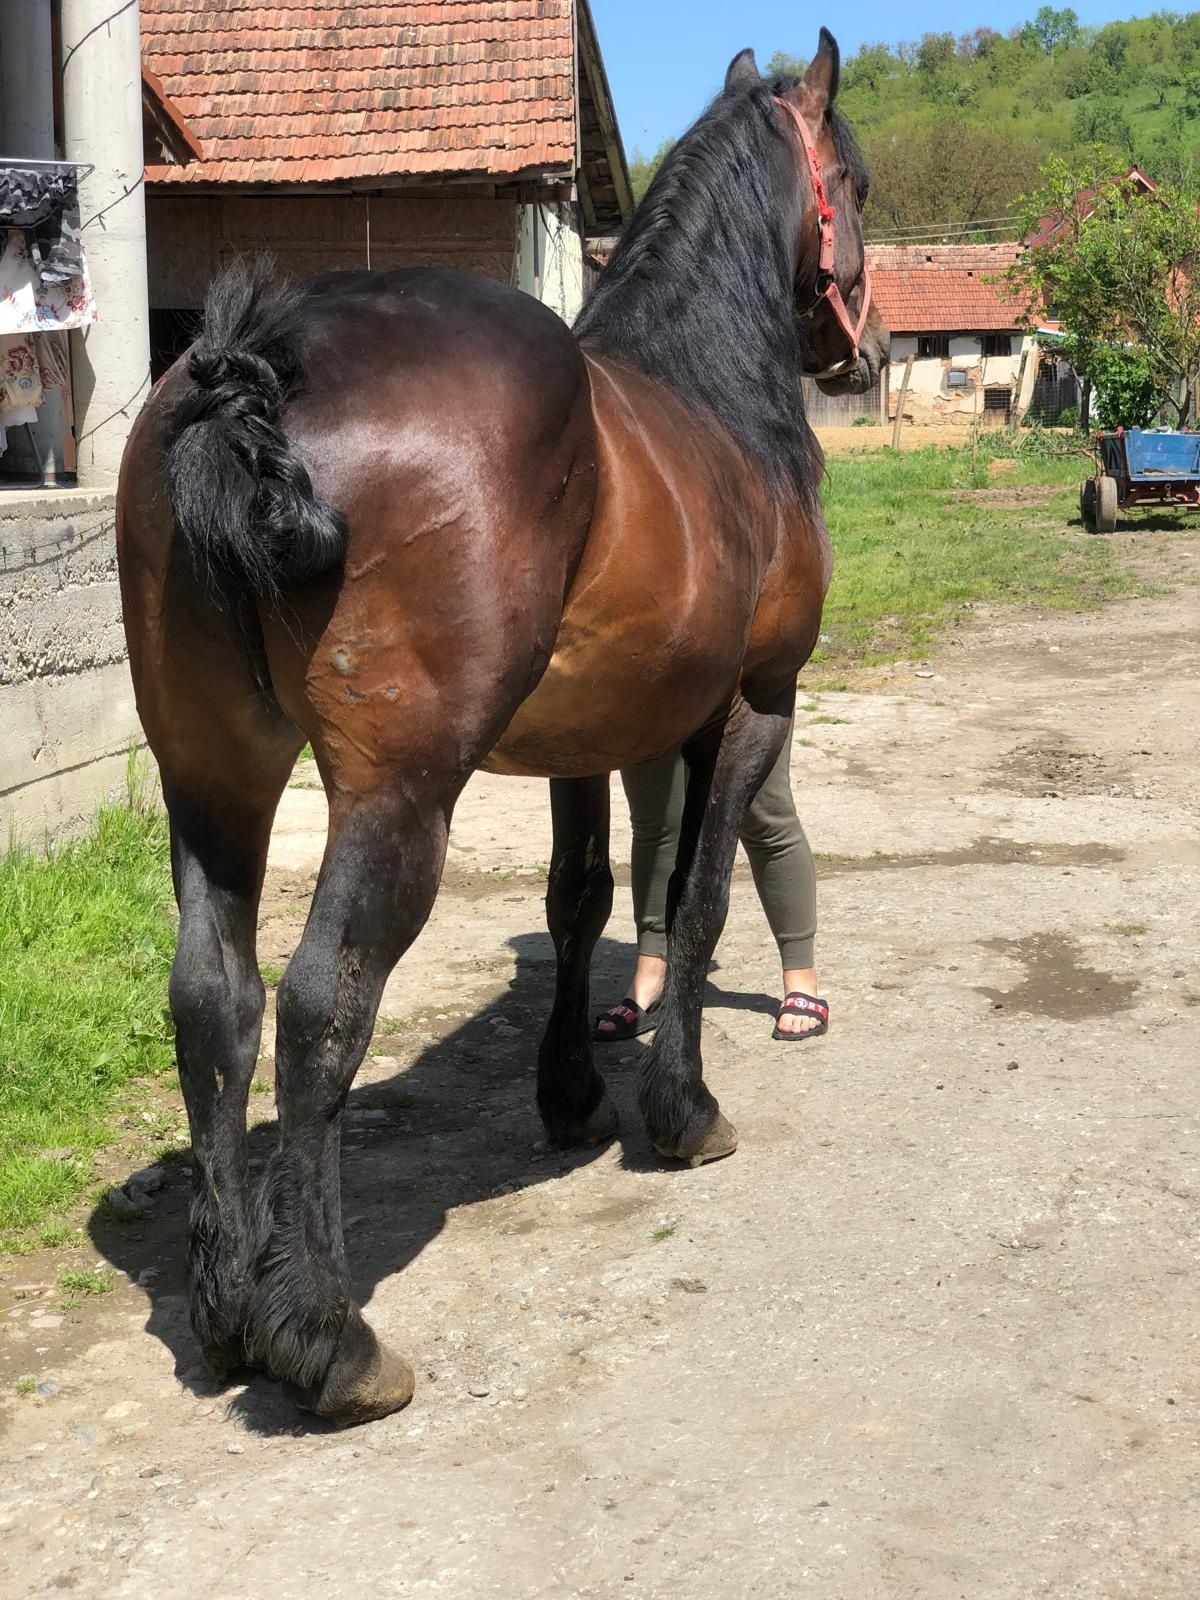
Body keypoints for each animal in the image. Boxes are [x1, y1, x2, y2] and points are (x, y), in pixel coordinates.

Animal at [117, 34, 896, 1427]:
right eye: (849, 181)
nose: (869, 349)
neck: (709, 392)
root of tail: (258, 357)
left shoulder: (584, 739)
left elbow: (583, 896)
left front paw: (574, 1093)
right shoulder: (755, 704)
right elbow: (696, 902)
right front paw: (683, 1112)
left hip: (212, 780)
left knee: (215, 1001)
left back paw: (225, 1313)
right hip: (398, 796)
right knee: (320, 1006)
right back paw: (329, 1339)